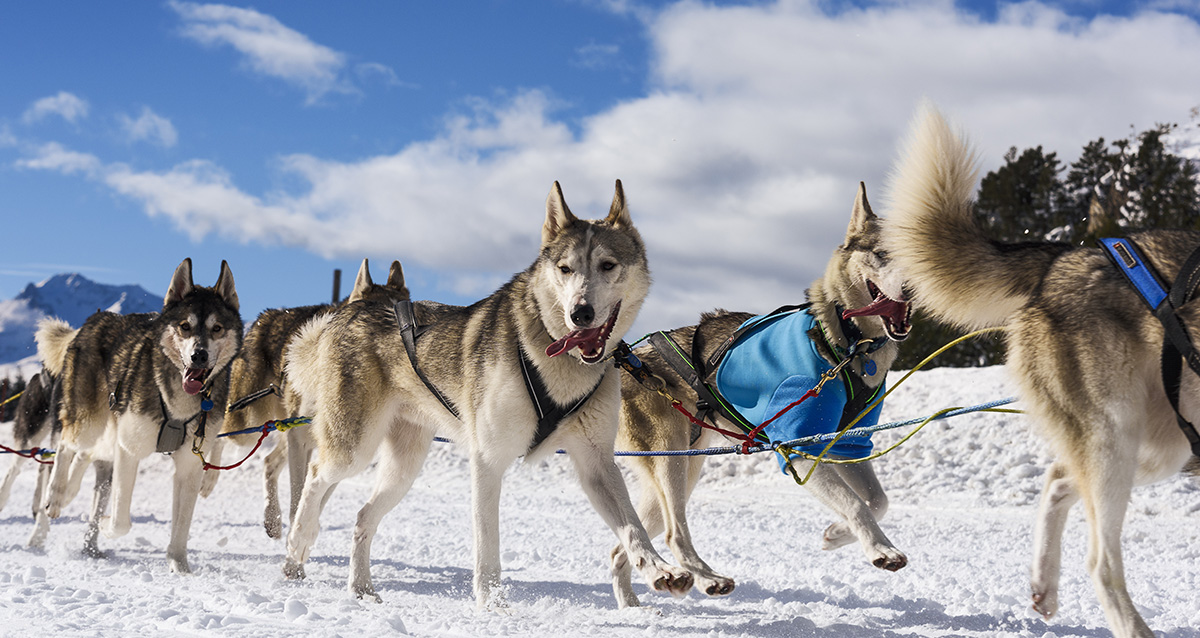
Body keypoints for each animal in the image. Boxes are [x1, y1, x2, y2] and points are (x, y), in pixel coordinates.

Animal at [35, 259, 242, 573]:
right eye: (185, 326)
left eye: (217, 328)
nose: (199, 355)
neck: (178, 402)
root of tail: (94, 320)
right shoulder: (129, 449)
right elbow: (121, 521)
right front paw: (105, 524)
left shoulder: (189, 465)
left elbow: (181, 527)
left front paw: (179, 566)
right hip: (89, 421)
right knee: (67, 446)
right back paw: (57, 494)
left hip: (107, 432)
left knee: (84, 454)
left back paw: (68, 492)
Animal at [223, 256, 410, 534]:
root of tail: (266, 316)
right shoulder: (300, 439)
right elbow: (299, 495)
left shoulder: (332, 448)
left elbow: (315, 498)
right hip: (250, 422)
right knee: (222, 431)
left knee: (268, 462)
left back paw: (272, 521)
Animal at [283, 181, 696, 609]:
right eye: (564, 269)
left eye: (608, 265)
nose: (580, 313)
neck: (555, 357)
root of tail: (354, 308)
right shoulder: (488, 459)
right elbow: (488, 545)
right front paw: (492, 605)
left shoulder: (595, 461)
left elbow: (633, 528)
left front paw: (659, 570)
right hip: (354, 447)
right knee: (315, 476)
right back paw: (298, 541)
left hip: (404, 467)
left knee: (363, 516)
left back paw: (361, 587)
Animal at [609, 182, 907, 604]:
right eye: (882, 254)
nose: (911, 287)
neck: (844, 342)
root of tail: (625, 361)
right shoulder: (798, 448)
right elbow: (856, 504)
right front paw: (880, 548)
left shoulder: (848, 444)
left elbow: (878, 501)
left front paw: (837, 534)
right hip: (670, 460)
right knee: (674, 533)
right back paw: (706, 578)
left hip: (679, 468)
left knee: (623, 548)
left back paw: (639, 604)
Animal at [883, 106, 1200, 638]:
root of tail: (1064, 257)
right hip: (1118, 433)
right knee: (1101, 562)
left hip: (1161, 445)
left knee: (1059, 476)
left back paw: (1044, 586)